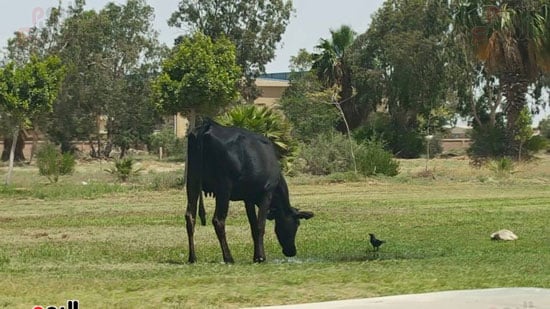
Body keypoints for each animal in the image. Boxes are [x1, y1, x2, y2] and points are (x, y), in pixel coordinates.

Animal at [185, 118, 314, 262]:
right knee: (218, 220)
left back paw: (192, 257)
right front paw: (261, 257)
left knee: (190, 216)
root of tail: (209, 125)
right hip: (224, 187)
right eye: (296, 224)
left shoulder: (248, 199)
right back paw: (228, 257)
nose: (292, 251)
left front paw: (256, 256)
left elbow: (253, 226)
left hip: (192, 181)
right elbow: (260, 225)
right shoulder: (266, 193)